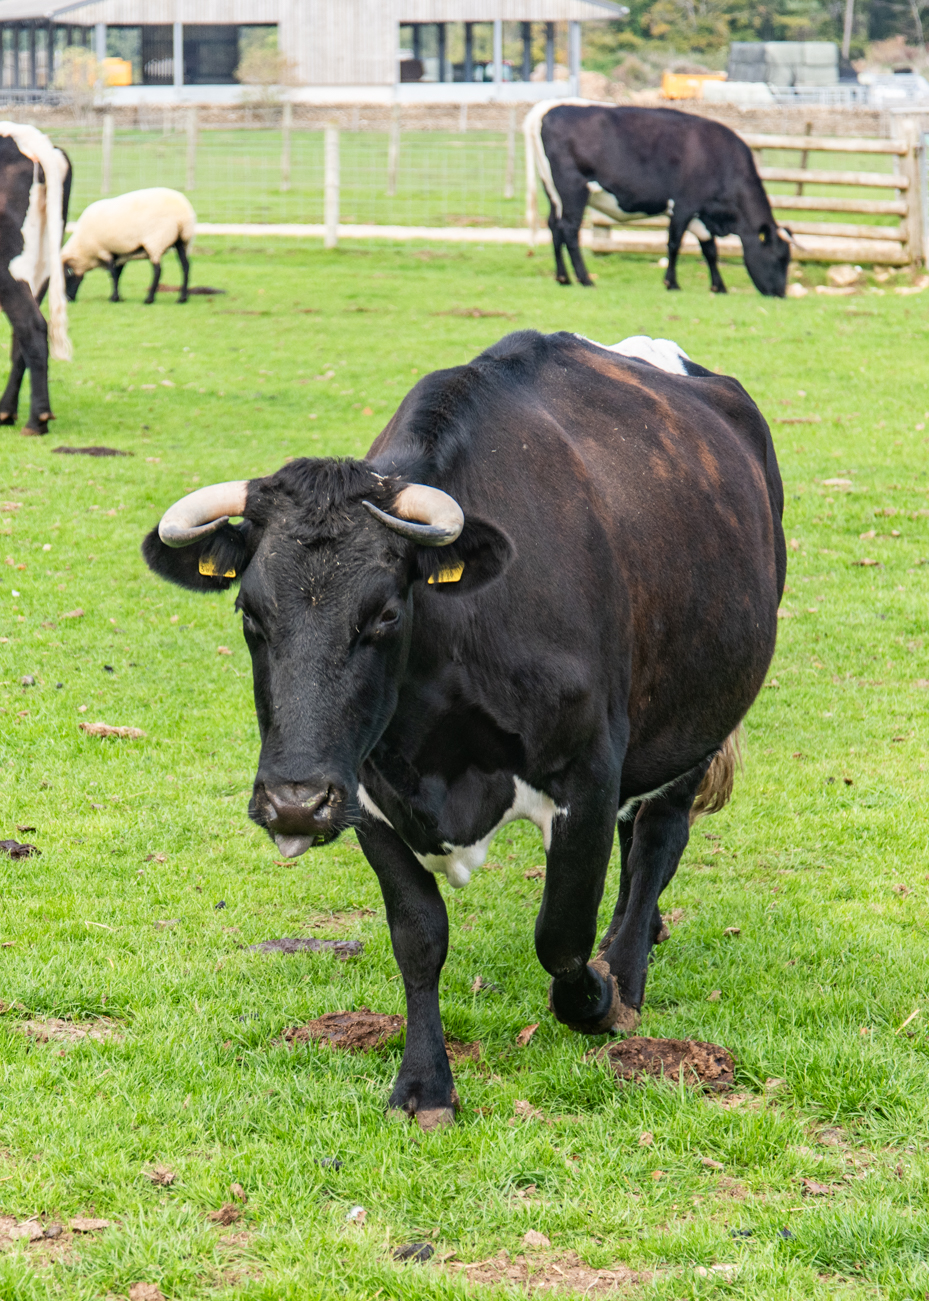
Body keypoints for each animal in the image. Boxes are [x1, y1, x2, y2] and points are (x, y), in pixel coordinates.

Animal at [142, 330, 786, 1129]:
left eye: (385, 613)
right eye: (249, 614)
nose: (294, 803)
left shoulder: (589, 771)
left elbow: (561, 934)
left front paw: (601, 997)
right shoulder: (369, 789)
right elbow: (418, 937)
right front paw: (424, 1084)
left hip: (698, 719)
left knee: (657, 841)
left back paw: (629, 968)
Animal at [525, 101, 791, 296]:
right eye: (780, 258)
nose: (780, 293)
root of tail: (547, 108)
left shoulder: (701, 215)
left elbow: (710, 249)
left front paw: (718, 286)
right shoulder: (684, 206)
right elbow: (674, 244)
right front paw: (671, 283)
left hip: (554, 193)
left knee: (554, 226)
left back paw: (563, 278)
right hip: (574, 189)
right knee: (570, 229)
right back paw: (585, 279)